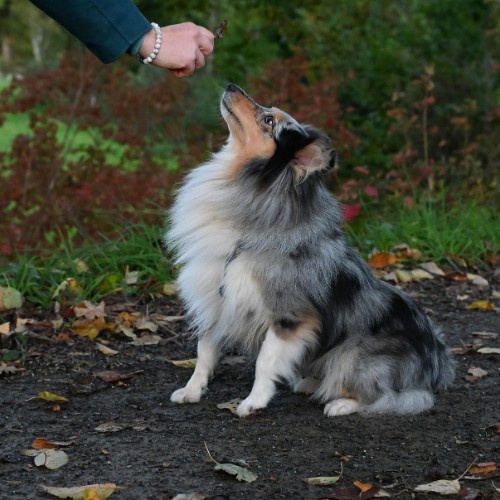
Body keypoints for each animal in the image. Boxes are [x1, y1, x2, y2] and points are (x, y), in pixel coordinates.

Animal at [166, 83, 456, 418]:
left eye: (268, 120)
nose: (231, 86)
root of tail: (438, 365)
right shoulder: (215, 299)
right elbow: (204, 351)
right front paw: (192, 390)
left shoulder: (289, 315)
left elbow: (265, 361)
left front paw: (254, 401)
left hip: (354, 352)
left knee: (393, 396)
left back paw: (339, 402)